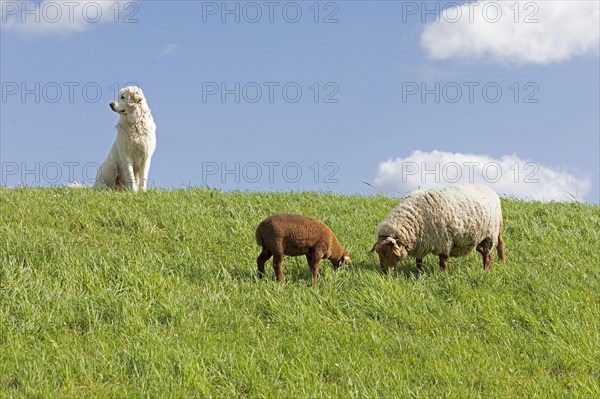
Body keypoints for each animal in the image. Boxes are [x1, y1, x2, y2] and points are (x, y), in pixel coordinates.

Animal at [370, 185, 506, 274]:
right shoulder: (421, 244)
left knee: (492, 250)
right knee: (489, 250)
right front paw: (418, 275)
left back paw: (490, 268)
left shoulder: (444, 241)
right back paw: (494, 266)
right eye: (378, 253)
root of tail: (490, 190)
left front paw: (443, 276)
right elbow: (419, 262)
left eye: (389, 253)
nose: (385, 273)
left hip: (491, 232)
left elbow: (443, 261)